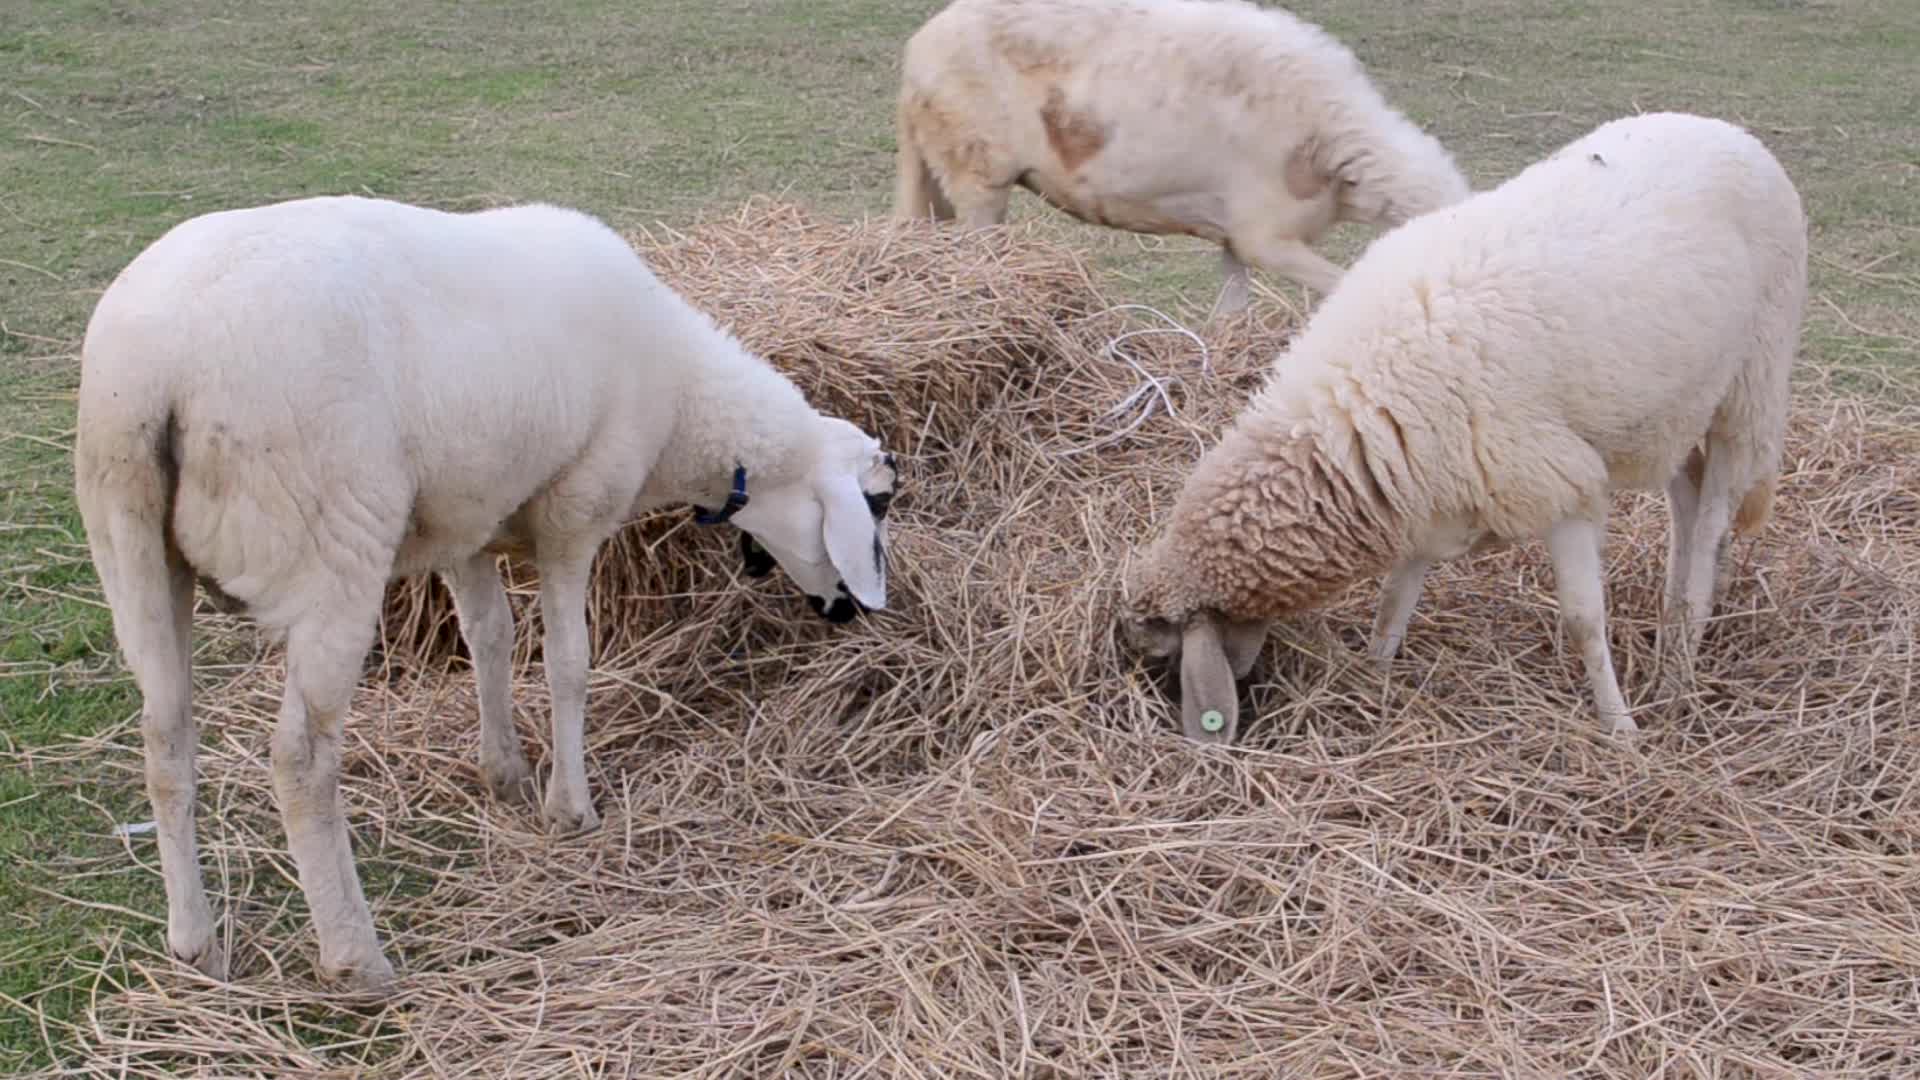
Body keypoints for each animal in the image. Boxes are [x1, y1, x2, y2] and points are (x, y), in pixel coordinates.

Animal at [73, 194, 900, 992]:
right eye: (880, 503)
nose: (850, 613)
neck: (684, 411)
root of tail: (159, 368)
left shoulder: (467, 523)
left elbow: (491, 638)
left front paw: (503, 771)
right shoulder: (575, 512)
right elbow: (568, 663)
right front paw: (570, 807)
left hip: (129, 543)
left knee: (164, 736)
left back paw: (195, 947)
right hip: (330, 541)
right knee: (302, 760)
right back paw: (356, 959)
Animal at [892, 0, 1471, 319]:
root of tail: (918, 49)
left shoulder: (1236, 234)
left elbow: (1232, 307)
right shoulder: (1265, 235)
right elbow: (1341, 285)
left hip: (936, 168)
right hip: (977, 174)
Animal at [1118, 112, 1807, 742]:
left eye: (1165, 656)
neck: (1356, 411)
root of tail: (1729, 131)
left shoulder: (1561, 485)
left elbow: (1584, 621)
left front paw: (1619, 730)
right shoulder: (1423, 493)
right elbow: (1393, 604)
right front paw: (1374, 678)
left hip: (1750, 385)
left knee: (1714, 518)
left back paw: (1680, 664)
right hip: (1680, 405)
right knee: (1688, 503)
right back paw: (1676, 631)